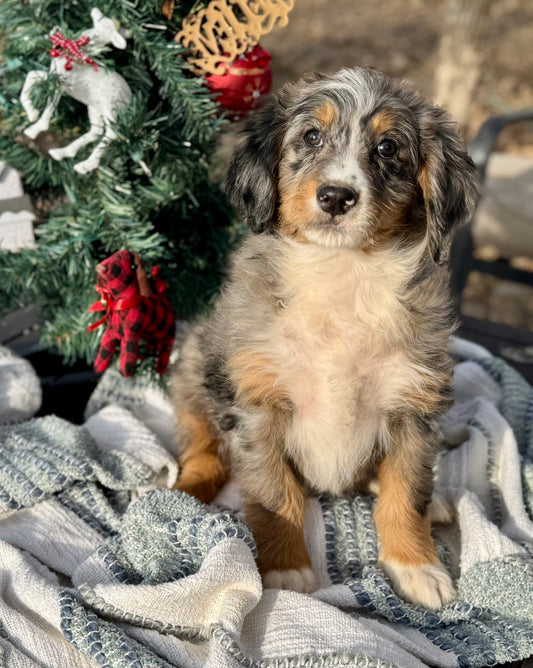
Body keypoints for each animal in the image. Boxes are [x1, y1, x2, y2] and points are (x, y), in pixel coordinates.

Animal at [170, 66, 478, 612]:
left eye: (388, 148)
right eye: (311, 136)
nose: (336, 196)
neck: (342, 271)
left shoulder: (413, 404)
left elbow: (406, 492)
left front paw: (416, 566)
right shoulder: (259, 403)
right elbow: (275, 494)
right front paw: (286, 571)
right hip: (192, 369)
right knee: (202, 448)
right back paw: (185, 491)